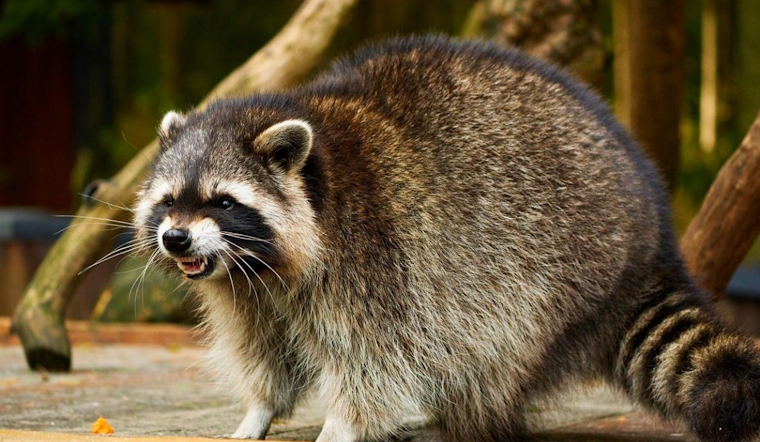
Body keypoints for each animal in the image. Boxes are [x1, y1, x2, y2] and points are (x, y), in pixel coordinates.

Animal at [133, 36, 760, 442]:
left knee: (490, 345)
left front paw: (343, 426)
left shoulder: (372, 258)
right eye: (169, 201)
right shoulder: (247, 291)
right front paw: (257, 413)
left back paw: (462, 423)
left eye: (223, 201)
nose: (176, 240)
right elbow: (264, 353)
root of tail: (652, 234)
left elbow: (376, 362)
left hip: (559, 259)